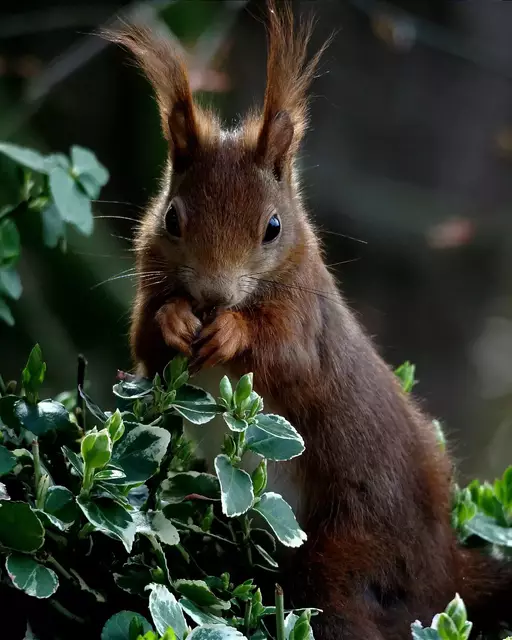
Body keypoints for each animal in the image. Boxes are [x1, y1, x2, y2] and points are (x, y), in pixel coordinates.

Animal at [105, 2, 512, 638]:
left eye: (273, 227)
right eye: (171, 218)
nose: (214, 294)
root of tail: (447, 567)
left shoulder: (307, 318)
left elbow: (290, 356)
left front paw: (233, 332)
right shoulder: (149, 286)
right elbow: (145, 345)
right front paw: (174, 319)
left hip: (350, 550)